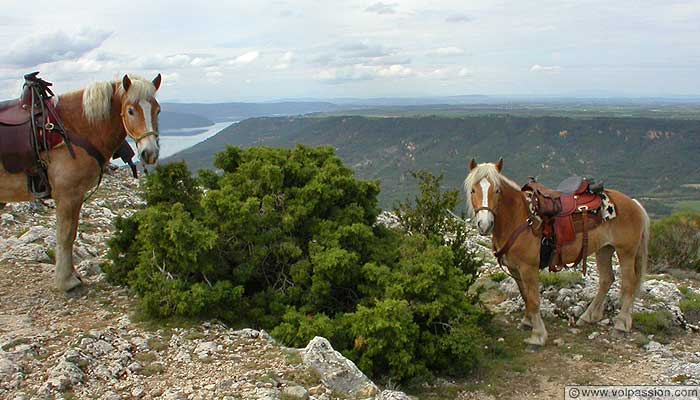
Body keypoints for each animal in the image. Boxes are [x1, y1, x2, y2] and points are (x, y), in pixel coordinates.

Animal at [0, 74, 163, 290]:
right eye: (130, 110)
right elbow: (65, 235)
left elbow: (72, 234)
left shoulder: (76, 196)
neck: (74, 127)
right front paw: (66, 281)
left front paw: (72, 274)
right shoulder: (67, 195)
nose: (150, 153)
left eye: (157, 110)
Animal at [464, 159, 652, 346]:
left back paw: (620, 325)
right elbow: (525, 295)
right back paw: (588, 316)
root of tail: (634, 204)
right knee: (607, 279)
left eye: (497, 190)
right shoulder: (514, 268)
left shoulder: (528, 268)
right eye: (473, 190)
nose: (484, 224)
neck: (520, 217)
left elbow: (533, 299)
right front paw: (527, 322)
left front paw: (538, 336)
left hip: (626, 251)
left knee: (628, 283)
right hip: (604, 250)